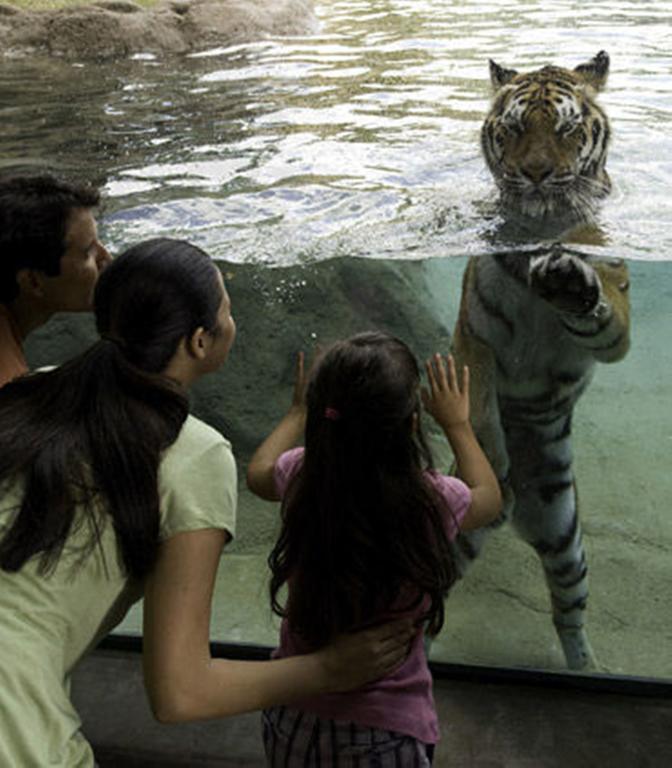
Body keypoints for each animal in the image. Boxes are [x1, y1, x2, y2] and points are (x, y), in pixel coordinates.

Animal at [452, 51, 632, 668]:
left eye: (565, 129)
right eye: (512, 130)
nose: (533, 173)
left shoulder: (617, 321)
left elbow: (605, 316)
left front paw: (572, 283)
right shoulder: (474, 336)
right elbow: (477, 415)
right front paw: (492, 467)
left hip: (564, 536)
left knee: (569, 608)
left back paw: (589, 669)